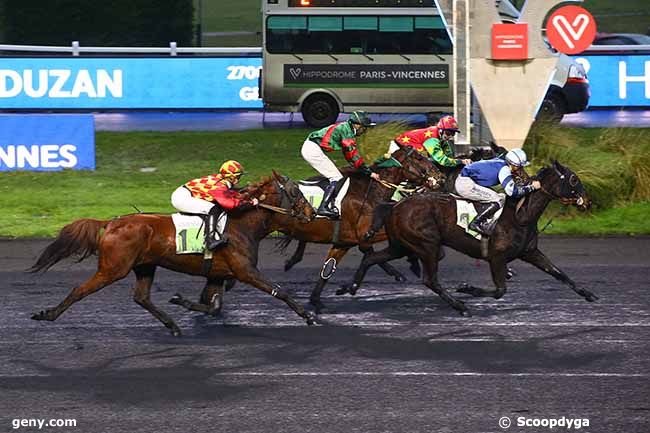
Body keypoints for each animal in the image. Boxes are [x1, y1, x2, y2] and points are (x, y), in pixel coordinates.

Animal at [27, 171, 316, 334]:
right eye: (295, 191)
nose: (311, 213)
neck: (241, 224)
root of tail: (111, 223)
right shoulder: (245, 271)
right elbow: (280, 291)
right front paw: (308, 315)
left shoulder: (218, 273)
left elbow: (213, 306)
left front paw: (181, 301)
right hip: (113, 268)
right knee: (80, 290)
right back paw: (47, 314)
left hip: (144, 266)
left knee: (141, 297)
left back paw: (173, 326)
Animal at [340, 160, 596, 316]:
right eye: (573, 179)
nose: (587, 201)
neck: (521, 215)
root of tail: (396, 205)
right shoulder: (497, 257)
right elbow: (500, 290)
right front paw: (467, 288)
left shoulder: (530, 252)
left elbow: (559, 273)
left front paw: (588, 294)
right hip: (427, 245)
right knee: (430, 281)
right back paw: (460, 306)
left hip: (401, 245)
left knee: (371, 259)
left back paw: (349, 287)